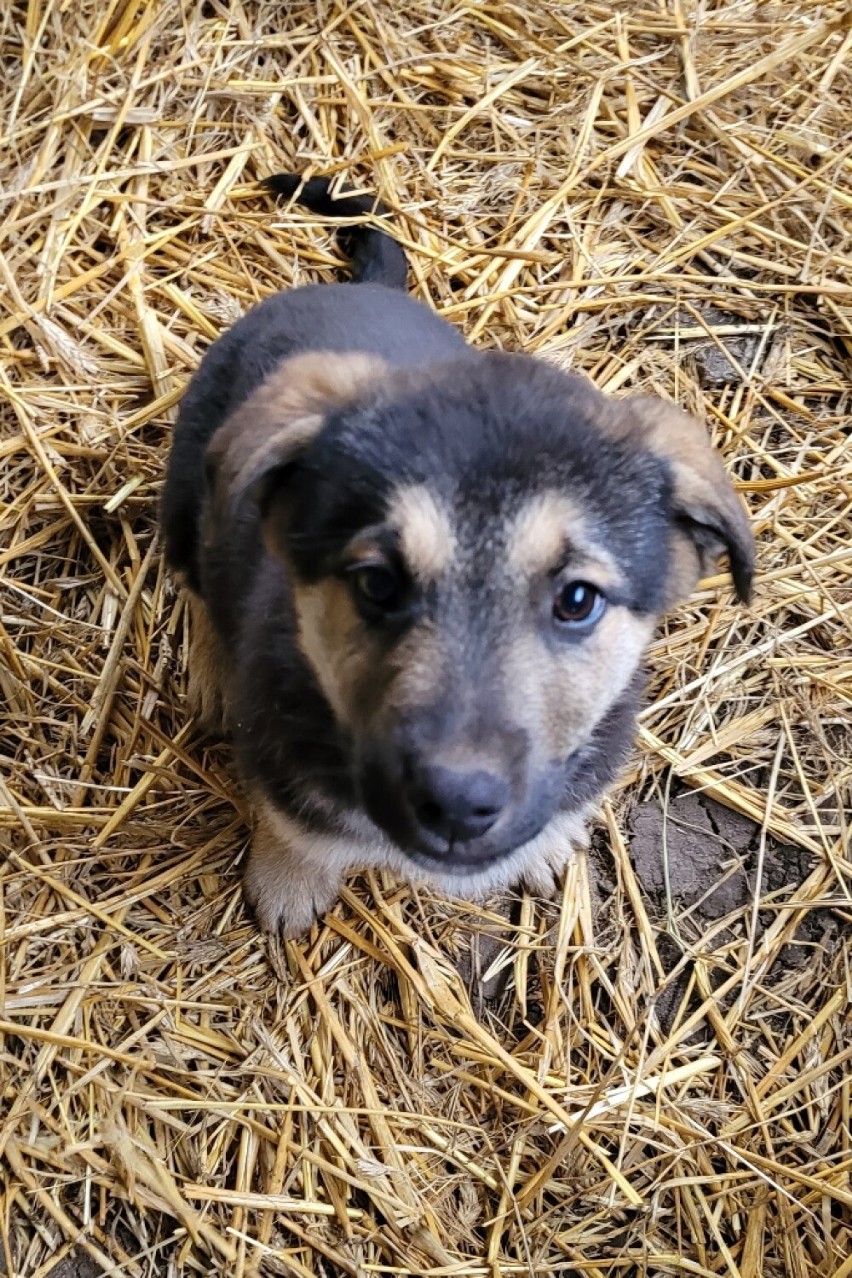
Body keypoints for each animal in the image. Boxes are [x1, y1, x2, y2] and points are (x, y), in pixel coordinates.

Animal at [159, 175, 751, 940]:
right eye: (377, 584)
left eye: (578, 600)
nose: (458, 806)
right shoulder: (280, 755)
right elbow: (297, 828)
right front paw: (287, 882)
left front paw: (546, 843)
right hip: (187, 496)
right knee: (199, 581)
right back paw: (209, 670)